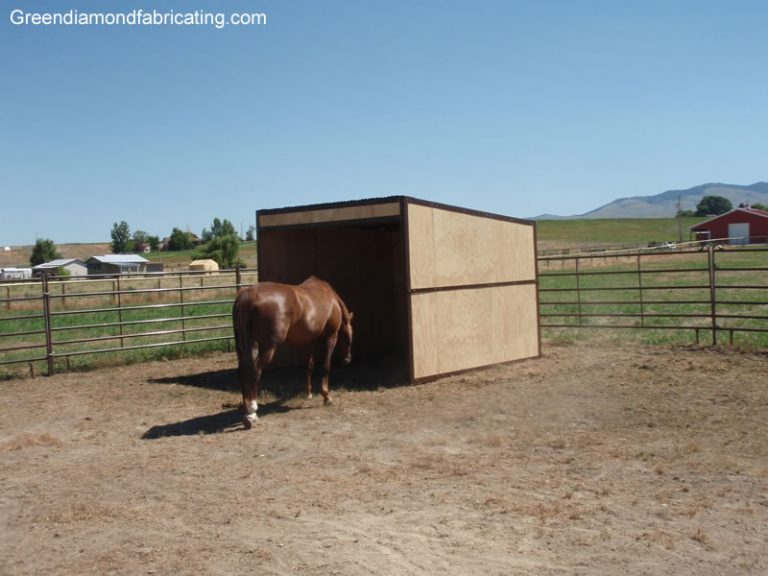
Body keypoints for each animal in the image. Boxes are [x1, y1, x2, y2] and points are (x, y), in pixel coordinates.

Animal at [232, 276, 356, 430]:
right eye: (350, 334)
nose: (347, 359)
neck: (331, 298)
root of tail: (250, 293)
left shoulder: (310, 341)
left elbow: (309, 365)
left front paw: (308, 393)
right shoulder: (331, 336)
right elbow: (326, 366)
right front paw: (326, 397)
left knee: (242, 370)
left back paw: (247, 409)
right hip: (268, 347)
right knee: (254, 371)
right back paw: (251, 413)